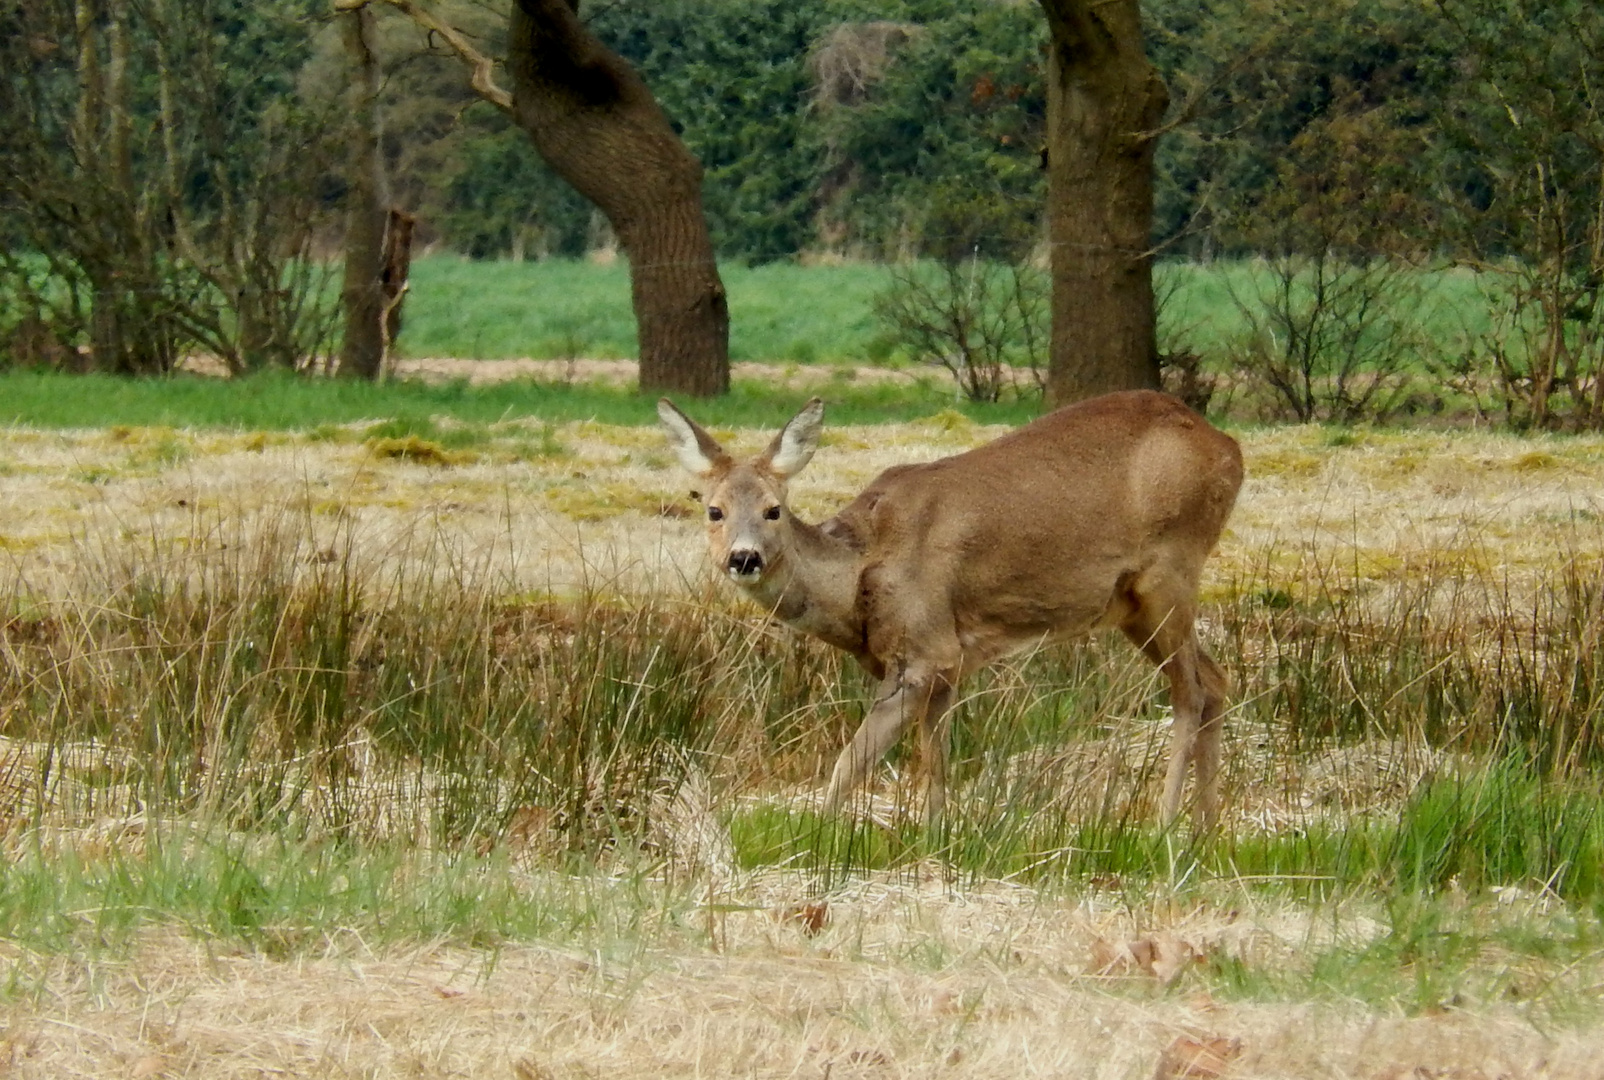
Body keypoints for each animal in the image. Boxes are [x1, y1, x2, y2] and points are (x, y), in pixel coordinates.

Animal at [657, 388, 1244, 828]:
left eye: (774, 509)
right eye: (713, 509)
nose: (744, 557)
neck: (859, 576)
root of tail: (1230, 448)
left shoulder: (924, 650)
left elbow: (851, 761)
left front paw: (820, 838)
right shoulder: (947, 664)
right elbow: (933, 759)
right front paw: (938, 835)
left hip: (1171, 570)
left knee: (1190, 691)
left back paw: (1164, 825)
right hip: (1134, 608)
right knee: (1217, 679)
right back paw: (1206, 830)